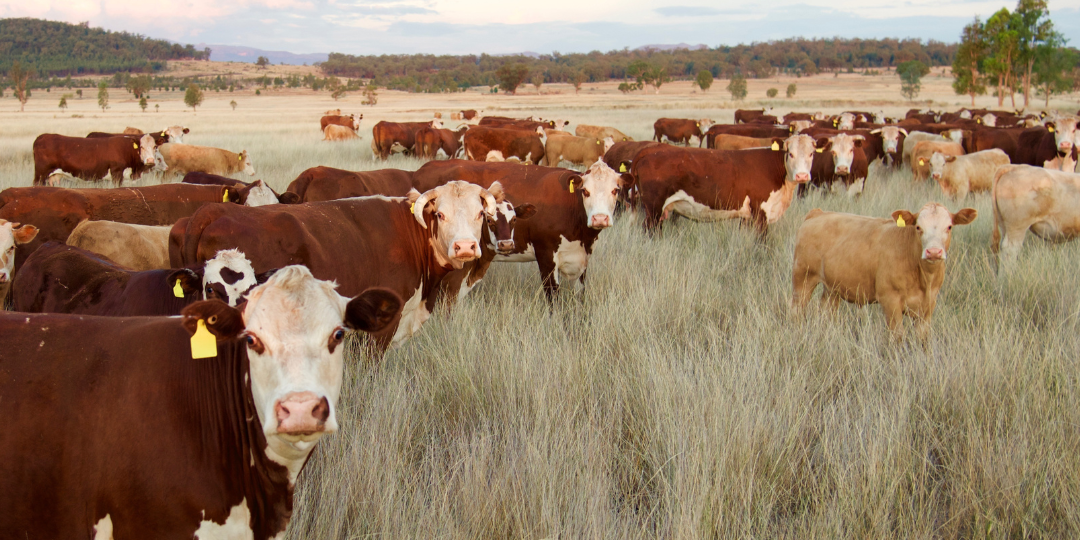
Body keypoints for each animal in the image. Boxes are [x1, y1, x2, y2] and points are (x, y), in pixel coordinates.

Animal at [412, 159, 629, 300]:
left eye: (615, 190)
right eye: (585, 191)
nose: (600, 218)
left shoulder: (582, 259)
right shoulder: (546, 255)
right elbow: (553, 298)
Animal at [631, 134, 819, 232]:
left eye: (811, 153)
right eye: (790, 153)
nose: (802, 176)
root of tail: (650, 150)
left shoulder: (747, 216)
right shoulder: (761, 213)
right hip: (653, 208)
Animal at [792, 203, 976, 339]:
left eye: (949, 226)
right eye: (918, 227)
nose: (934, 252)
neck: (924, 278)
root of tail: (818, 213)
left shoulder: (928, 305)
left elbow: (923, 339)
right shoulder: (890, 300)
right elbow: (897, 336)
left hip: (833, 288)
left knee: (826, 313)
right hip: (803, 278)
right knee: (797, 311)